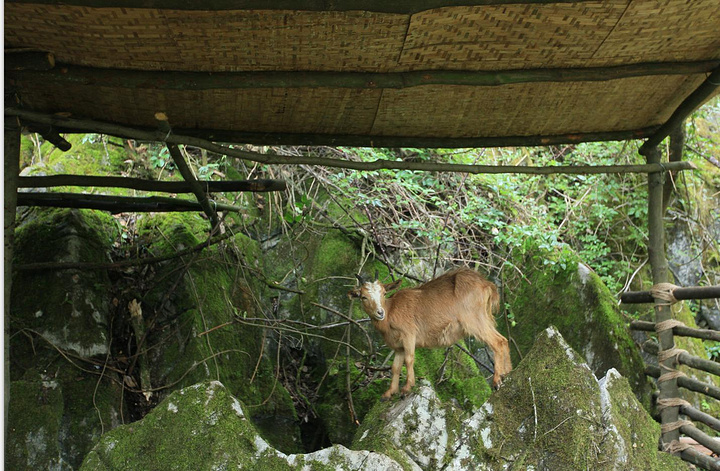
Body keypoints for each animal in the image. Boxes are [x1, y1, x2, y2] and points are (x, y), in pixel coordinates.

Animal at [350, 268, 512, 400]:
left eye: (384, 293)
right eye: (363, 297)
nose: (380, 312)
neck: (391, 312)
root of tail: (487, 284)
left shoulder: (409, 335)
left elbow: (409, 360)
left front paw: (407, 388)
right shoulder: (398, 347)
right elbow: (395, 367)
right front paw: (389, 393)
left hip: (473, 320)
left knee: (497, 342)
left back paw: (497, 381)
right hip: (483, 319)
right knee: (504, 339)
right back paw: (507, 373)